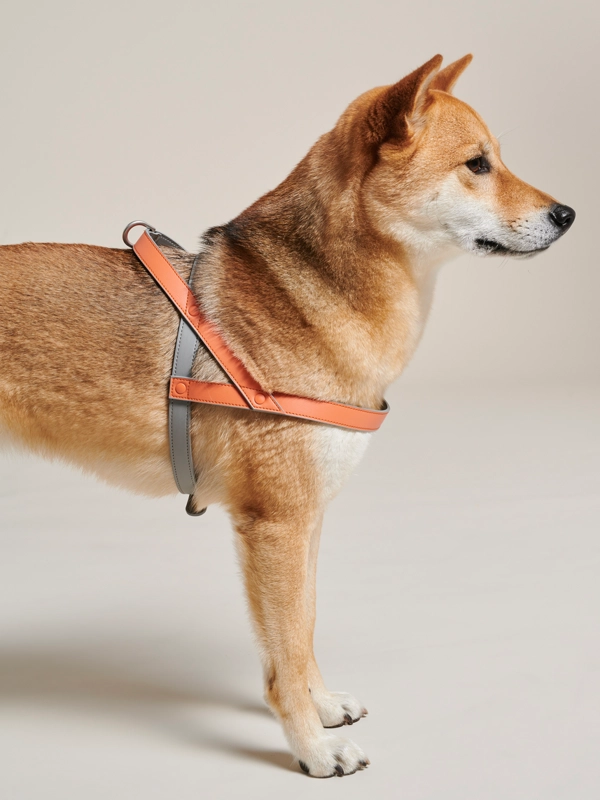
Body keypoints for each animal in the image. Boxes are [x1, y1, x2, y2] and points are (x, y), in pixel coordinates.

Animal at [0, 54, 575, 777]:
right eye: (477, 164)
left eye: (497, 158)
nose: (568, 213)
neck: (317, 293)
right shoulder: (276, 523)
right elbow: (287, 651)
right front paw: (313, 749)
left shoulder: (307, 519)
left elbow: (301, 632)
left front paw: (322, 710)